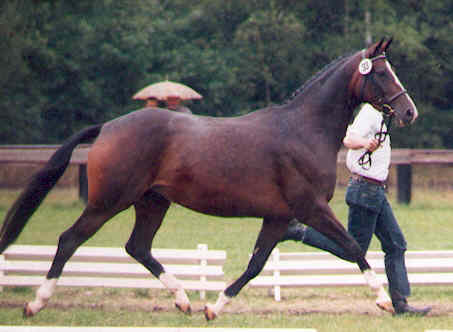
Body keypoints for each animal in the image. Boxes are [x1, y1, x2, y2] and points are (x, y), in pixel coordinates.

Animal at [0, 37, 416, 320]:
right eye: (381, 73)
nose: (409, 112)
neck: (302, 131)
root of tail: (107, 128)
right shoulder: (310, 208)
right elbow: (354, 247)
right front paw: (383, 299)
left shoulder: (278, 216)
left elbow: (256, 264)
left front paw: (215, 307)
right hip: (108, 202)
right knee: (69, 240)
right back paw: (35, 304)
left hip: (153, 202)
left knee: (138, 247)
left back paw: (184, 300)